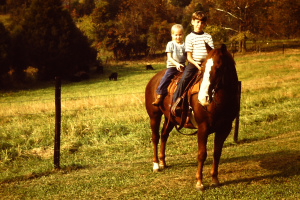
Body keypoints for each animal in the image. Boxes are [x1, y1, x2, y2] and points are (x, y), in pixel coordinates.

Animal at [145, 43, 239, 190]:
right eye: (203, 68)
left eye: (218, 68)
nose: (203, 98)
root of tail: (153, 80)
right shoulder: (203, 128)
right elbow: (202, 154)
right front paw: (199, 182)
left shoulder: (225, 128)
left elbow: (217, 153)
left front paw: (215, 179)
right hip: (154, 116)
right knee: (155, 137)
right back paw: (156, 165)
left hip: (170, 119)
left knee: (164, 135)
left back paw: (162, 162)